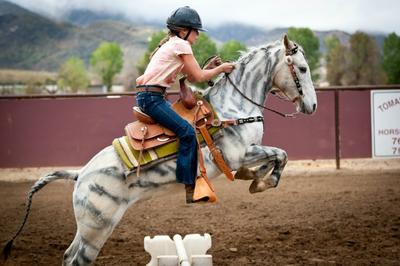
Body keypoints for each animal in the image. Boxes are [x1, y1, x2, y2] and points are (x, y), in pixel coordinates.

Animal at [2, 34, 316, 264]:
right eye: (302, 68)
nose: (312, 106)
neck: (232, 108)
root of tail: (80, 176)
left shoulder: (247, 153)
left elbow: (277, 157)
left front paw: (254, 178)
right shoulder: (238, 154)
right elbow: (280, 154)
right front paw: (260, 182)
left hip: (87, 228)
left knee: (68, 256)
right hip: (97, 227)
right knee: (78, 260)